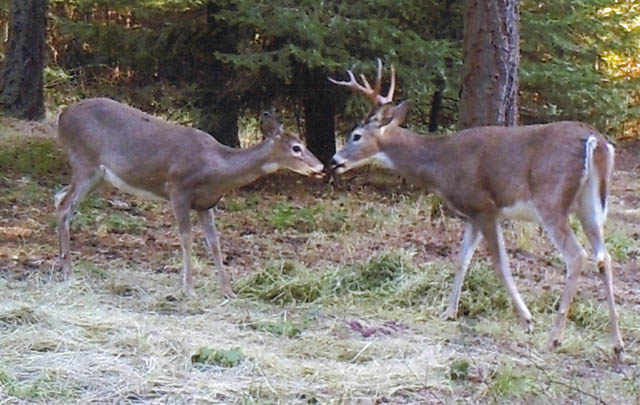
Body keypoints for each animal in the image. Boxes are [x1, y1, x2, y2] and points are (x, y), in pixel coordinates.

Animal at [55, 98, 324, 298]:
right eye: (296, 148)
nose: (321, 167)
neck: (215, 168)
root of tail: (62, 115)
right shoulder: (177, 190)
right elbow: (186, 238)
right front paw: (188, 288)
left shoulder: (206, 203)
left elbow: (214, 243)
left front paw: (228, 291)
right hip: (85, 162)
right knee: (65, 206)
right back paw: (69, 273)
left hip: (98, 176)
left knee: (59, 197)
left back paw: (64, 266)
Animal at [328, 60, 623, 358]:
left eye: (356, 136)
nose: (333, 160)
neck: (440, 164)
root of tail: (596, 141)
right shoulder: (471, 214)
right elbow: (462, 260)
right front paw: (449, 312)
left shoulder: (485, 207)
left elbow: (500, 263)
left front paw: (527, 319)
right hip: (589, 205)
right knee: (604, 256)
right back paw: (617, 343)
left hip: (550, 199)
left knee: (576, 256)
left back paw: (554, 338)